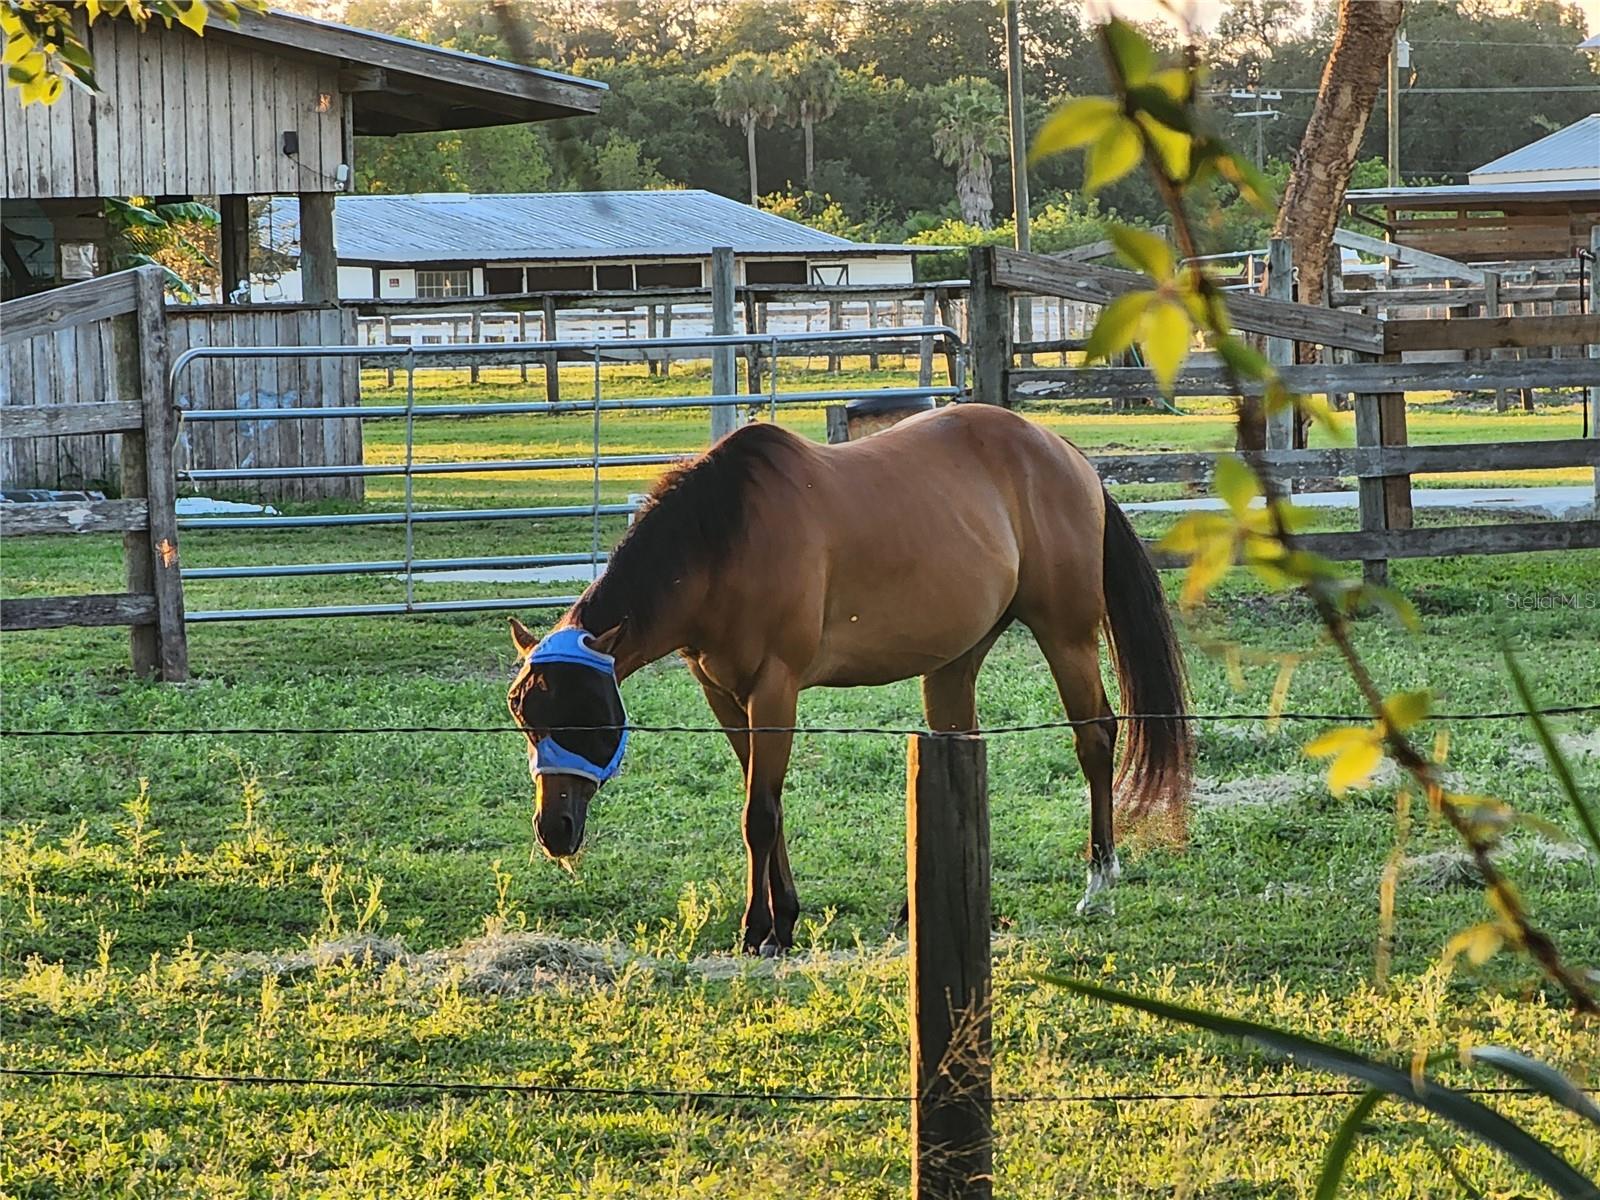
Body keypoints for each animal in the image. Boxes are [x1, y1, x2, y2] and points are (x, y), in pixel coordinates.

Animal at [507, 402, 1192, 955]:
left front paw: (759, 930)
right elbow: (767, 805)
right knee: (962, 747)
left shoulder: (775, 689)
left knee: (1095, 739)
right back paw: (921, 906)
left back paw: (1099, 884)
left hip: (1065, 636)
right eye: (524, 716)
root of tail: (1066, 452)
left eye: (590, 715)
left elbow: (760, 812)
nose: (554, 831)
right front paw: (784, 918)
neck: (724, 541)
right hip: (955, 660)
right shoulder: (725, 697)